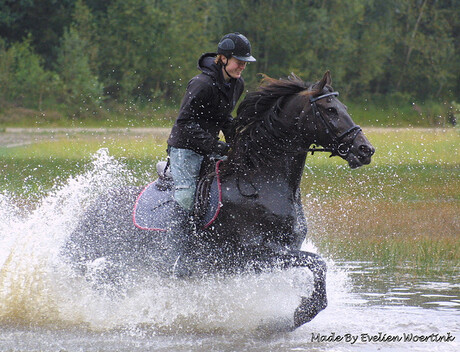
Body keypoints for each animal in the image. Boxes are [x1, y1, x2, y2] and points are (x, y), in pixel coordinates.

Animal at [63, 71, 374, 330]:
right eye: (331, 110)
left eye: (344, 108)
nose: (365, 150)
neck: (261, 182)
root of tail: (90, 210)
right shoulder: (253, 255)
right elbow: (318, 264)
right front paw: (298, 314)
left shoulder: (278, 253)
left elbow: (313, 269)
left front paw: (290, 315)